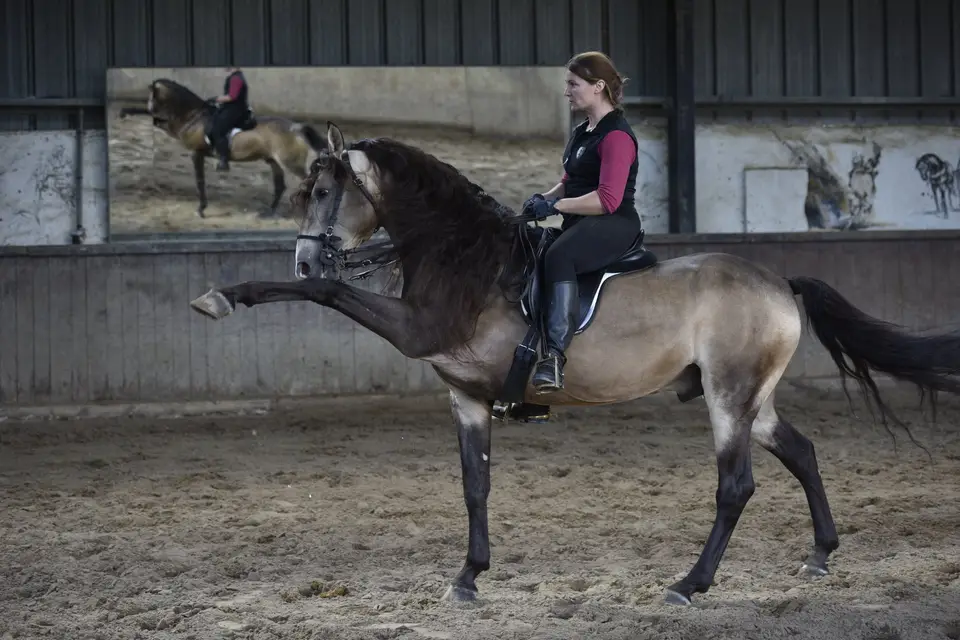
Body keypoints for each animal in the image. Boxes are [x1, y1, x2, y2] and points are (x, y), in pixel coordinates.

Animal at [117, 78, 328, 219]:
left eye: (152, 97)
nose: (149, 107)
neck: (193, 115)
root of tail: (295, 127)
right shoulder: (175, 128)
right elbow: (157, 121)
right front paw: (125, 111)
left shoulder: (196, 152)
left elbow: (200, 181)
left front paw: (201, 209)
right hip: (274, 161)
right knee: (280, 186)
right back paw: (268, 213)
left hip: (290, 163)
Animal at [190, 122, 960, 606]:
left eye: (323, 193)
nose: (304, 257)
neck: (458, 252)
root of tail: (778, 281)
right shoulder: (466, 395)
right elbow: (475, 487)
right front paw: (468, 578)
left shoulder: (415, 331)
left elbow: (331, 294)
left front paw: (225, 296)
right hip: (752, 399)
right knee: (800, 451)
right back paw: (821, 554)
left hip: (729, 398)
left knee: (735, 486)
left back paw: (689, 584)